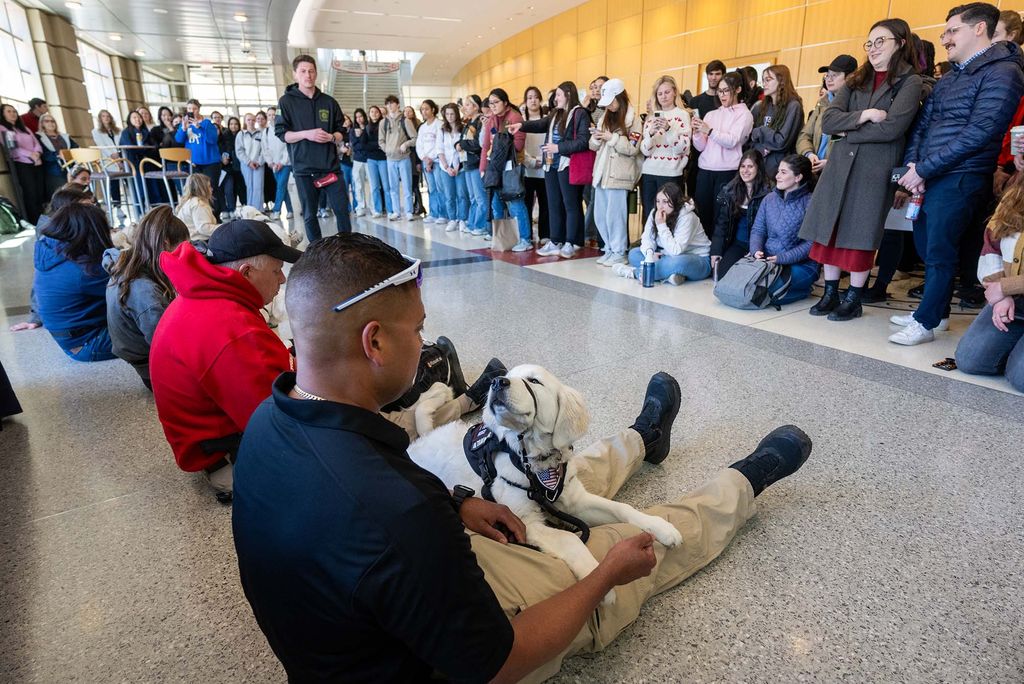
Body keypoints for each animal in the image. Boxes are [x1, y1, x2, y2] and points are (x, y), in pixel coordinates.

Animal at [405, 362, 679, 602]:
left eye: (534, 381)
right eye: (508, 376)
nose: (497, 382)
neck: (534, 462)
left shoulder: (574, 500)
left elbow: (621, 508)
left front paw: (661, 527)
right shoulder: (523, 521)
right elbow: (570, 539)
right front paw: (601, 578)